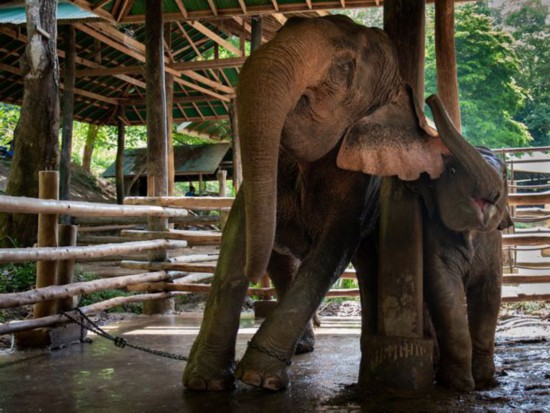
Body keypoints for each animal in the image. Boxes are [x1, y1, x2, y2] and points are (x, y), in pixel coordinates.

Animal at [184, 16, 504, 392]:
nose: (429, 98)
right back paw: (304, 348)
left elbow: (331, 250)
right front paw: (205, 381)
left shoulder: (362, 181)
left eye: (345, 67)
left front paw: (258, 378)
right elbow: (238, 231)